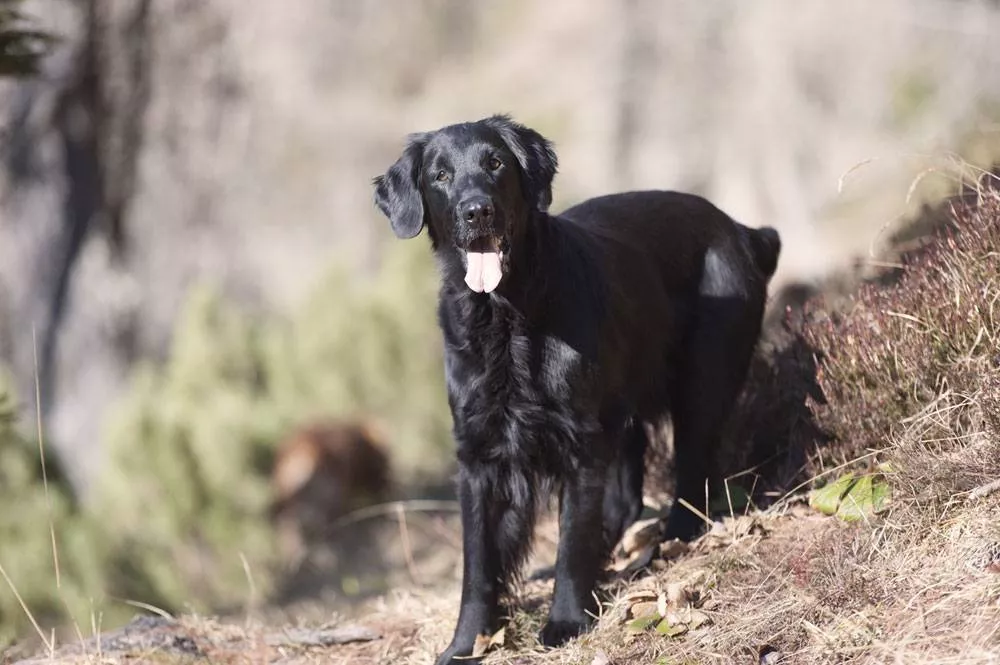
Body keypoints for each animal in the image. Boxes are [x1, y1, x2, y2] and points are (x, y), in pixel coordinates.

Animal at [376, 116, 780, 660]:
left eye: (495, 162)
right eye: (440, 175)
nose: (477, 210)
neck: (508, 317)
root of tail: (740, 230)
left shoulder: (578, 441)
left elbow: (572, 538)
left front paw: (565, 621)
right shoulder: (479, 455)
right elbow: (478, 564)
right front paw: (466, 643)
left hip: (699, 386)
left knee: (690, 485)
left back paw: (660, 551)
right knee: (626, 501)